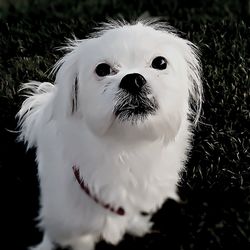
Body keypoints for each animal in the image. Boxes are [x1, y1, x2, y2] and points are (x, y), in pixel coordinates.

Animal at [17, 19, 201, 250]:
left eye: (160, 62)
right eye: (102, 69)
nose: (133, 80)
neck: (127, 150)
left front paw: (137, 225)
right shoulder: (69, 226)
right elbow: (80, 241)